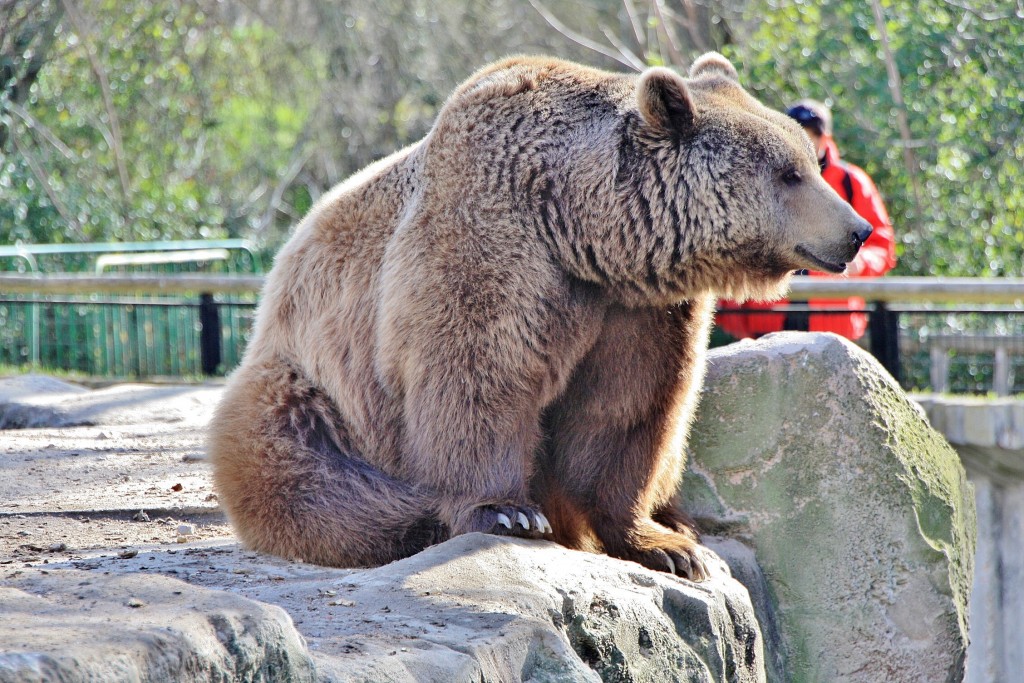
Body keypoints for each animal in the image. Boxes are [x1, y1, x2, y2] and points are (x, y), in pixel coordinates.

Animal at [209, 52, 872, 581]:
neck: (583, 231)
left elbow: (626, 411)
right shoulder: (490, 248)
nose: (858, 231)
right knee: (308, 471)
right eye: (789, 173)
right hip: (310, 387)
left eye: (811, 162)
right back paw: (410, 519)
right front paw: (507, 511)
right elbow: (474, 374)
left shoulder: (638, 310)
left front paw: (666, 544)